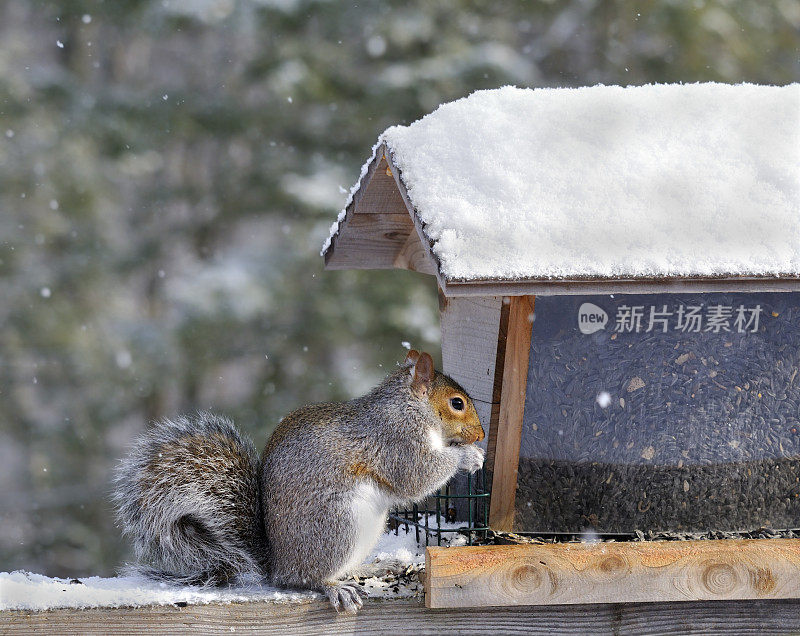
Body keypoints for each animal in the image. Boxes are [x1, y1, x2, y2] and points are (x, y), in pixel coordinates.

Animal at [113, 350, 484, 612]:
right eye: (457, 403)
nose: (481, 434)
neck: (410, 408)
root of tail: (276, 563)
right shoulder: (397, 442)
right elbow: (417, 476)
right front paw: (469, 456)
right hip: (337, 526)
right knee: (304, 579)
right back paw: (333, 587)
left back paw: (378, 567)